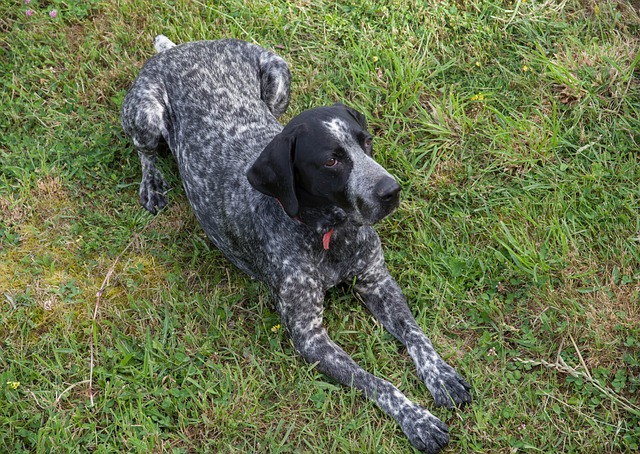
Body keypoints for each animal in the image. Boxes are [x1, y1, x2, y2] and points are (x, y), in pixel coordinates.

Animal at [120, 36, 470, 454]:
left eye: (366, 142)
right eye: (332, 161)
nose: (391, 191)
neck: (328, 234)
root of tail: (175, 49)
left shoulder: (378, 283)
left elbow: (417, 335)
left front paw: (441, 376)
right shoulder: (309, 335)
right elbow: (377, 382)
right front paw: (417, 419)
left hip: (278, 74)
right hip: (146, 115)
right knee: (145, 152)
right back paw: (152, 183)